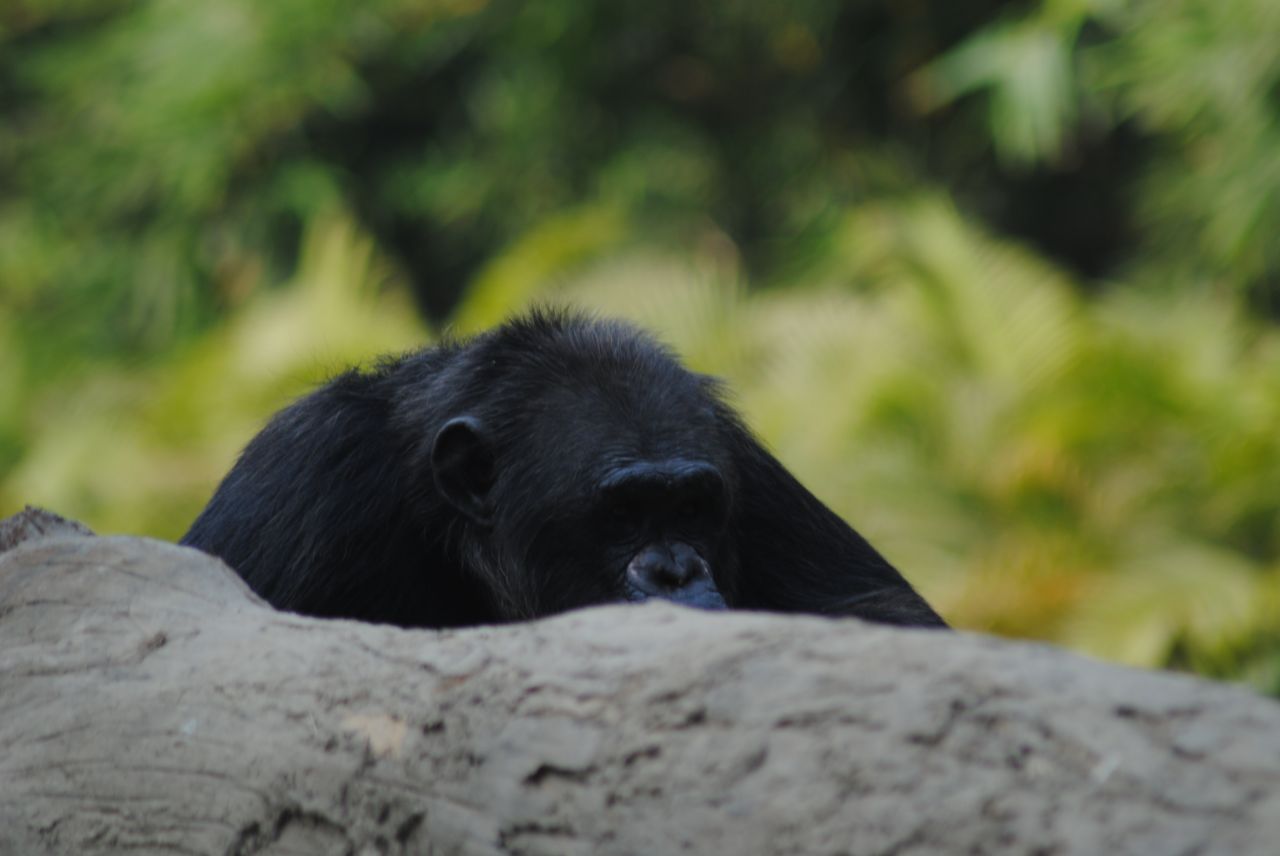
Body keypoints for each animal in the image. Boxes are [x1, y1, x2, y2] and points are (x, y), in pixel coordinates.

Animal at [180, 312, 947, 626]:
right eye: (623, 511)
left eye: (692, 507)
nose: (674, 569)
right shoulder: (308, 470)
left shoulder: (742, 463)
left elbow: (875, 604)